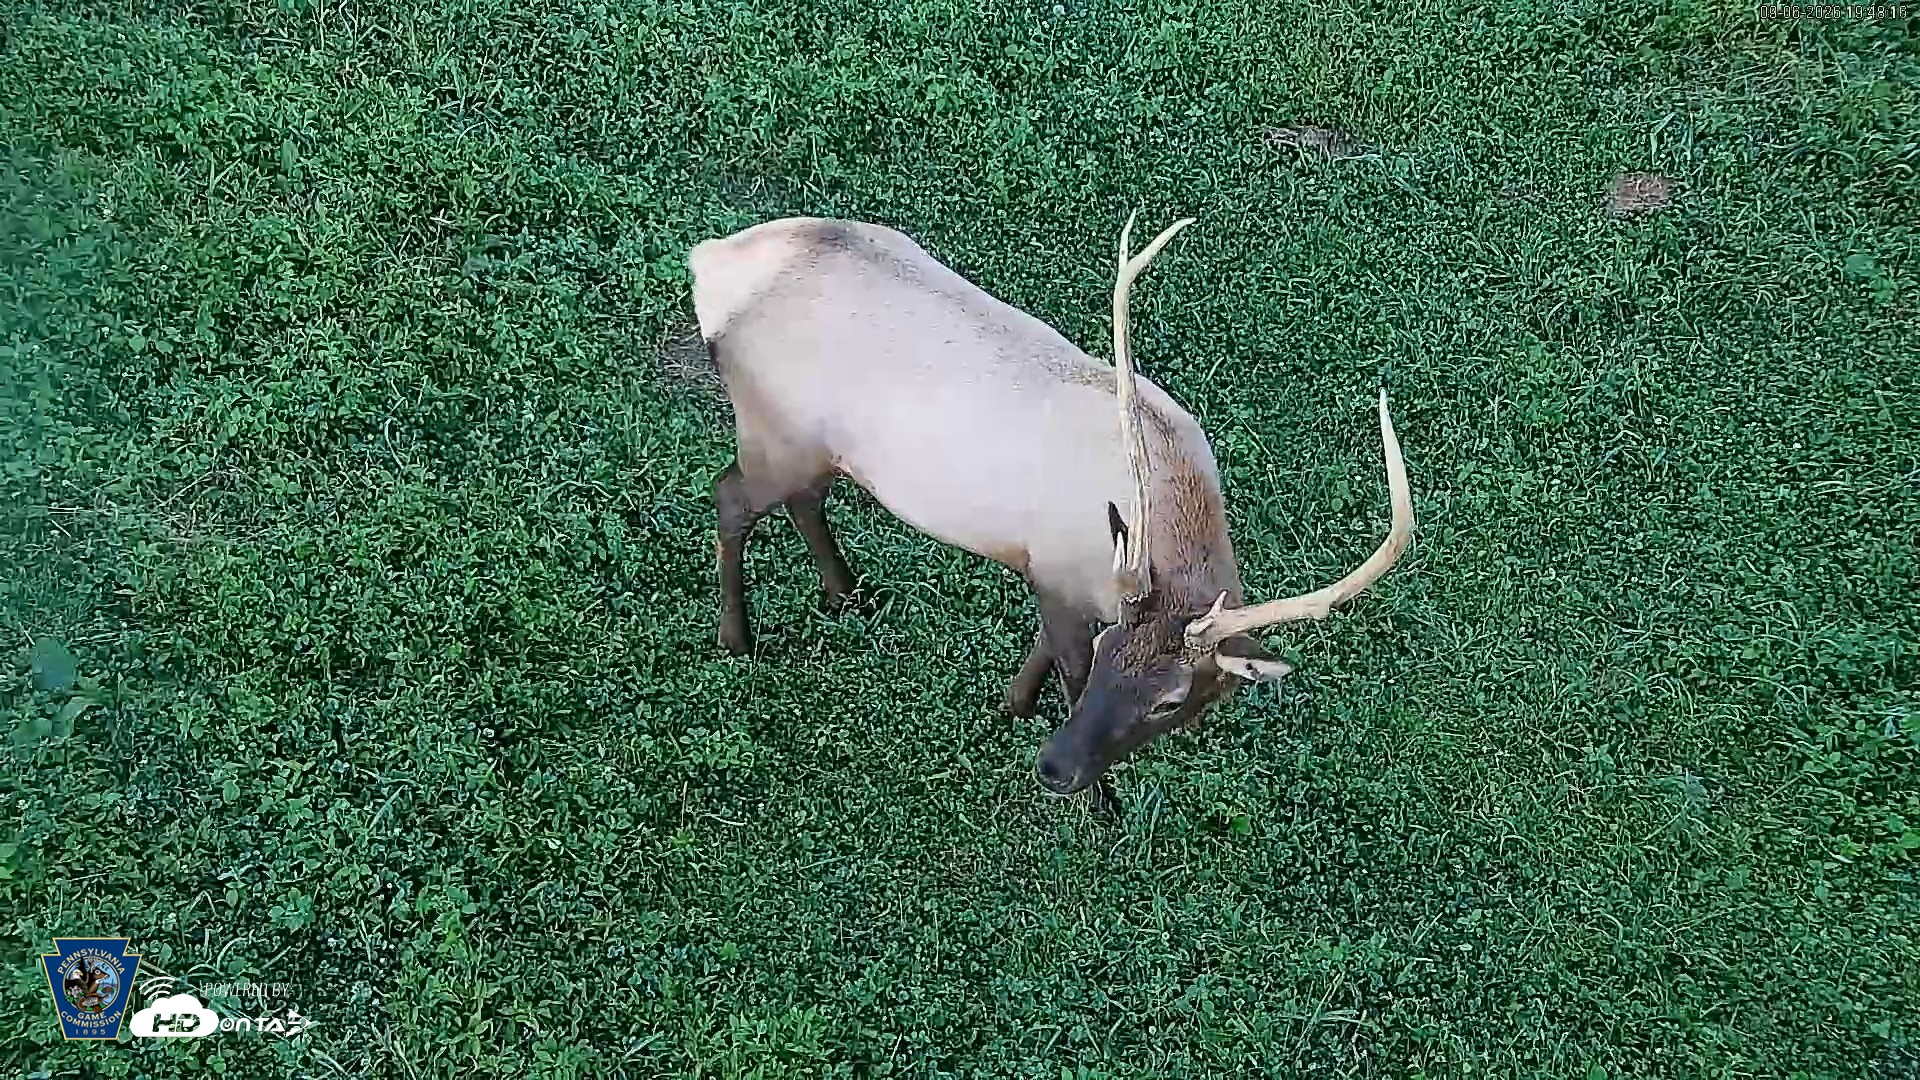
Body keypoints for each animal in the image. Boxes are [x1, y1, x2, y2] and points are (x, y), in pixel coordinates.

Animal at [688, 212, 1414, 796]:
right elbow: (1060, 658)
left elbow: (1039, 646)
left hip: (814, 450)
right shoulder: (1063, 577)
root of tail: (709, 265)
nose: (1055, 769)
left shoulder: (1057, 577)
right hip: (770, 432)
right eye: (1109, 652)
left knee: (805, 501)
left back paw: (847, 594)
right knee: (730, 498)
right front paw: (1101, 808)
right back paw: (736, 638)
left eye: (1171, 699)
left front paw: (1012, 705)